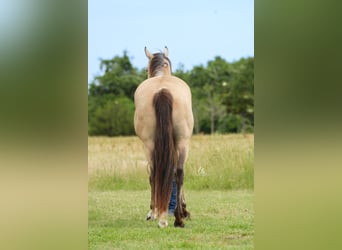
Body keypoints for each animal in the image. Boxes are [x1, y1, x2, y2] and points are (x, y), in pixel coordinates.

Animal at [134, 47, 194, 229]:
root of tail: (162, 90)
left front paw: (152, 212)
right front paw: (183, 209)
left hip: (150, 145)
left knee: (156, 174)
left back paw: (160, 215)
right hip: (182, 142)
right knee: (178, 173)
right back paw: (178, 218)